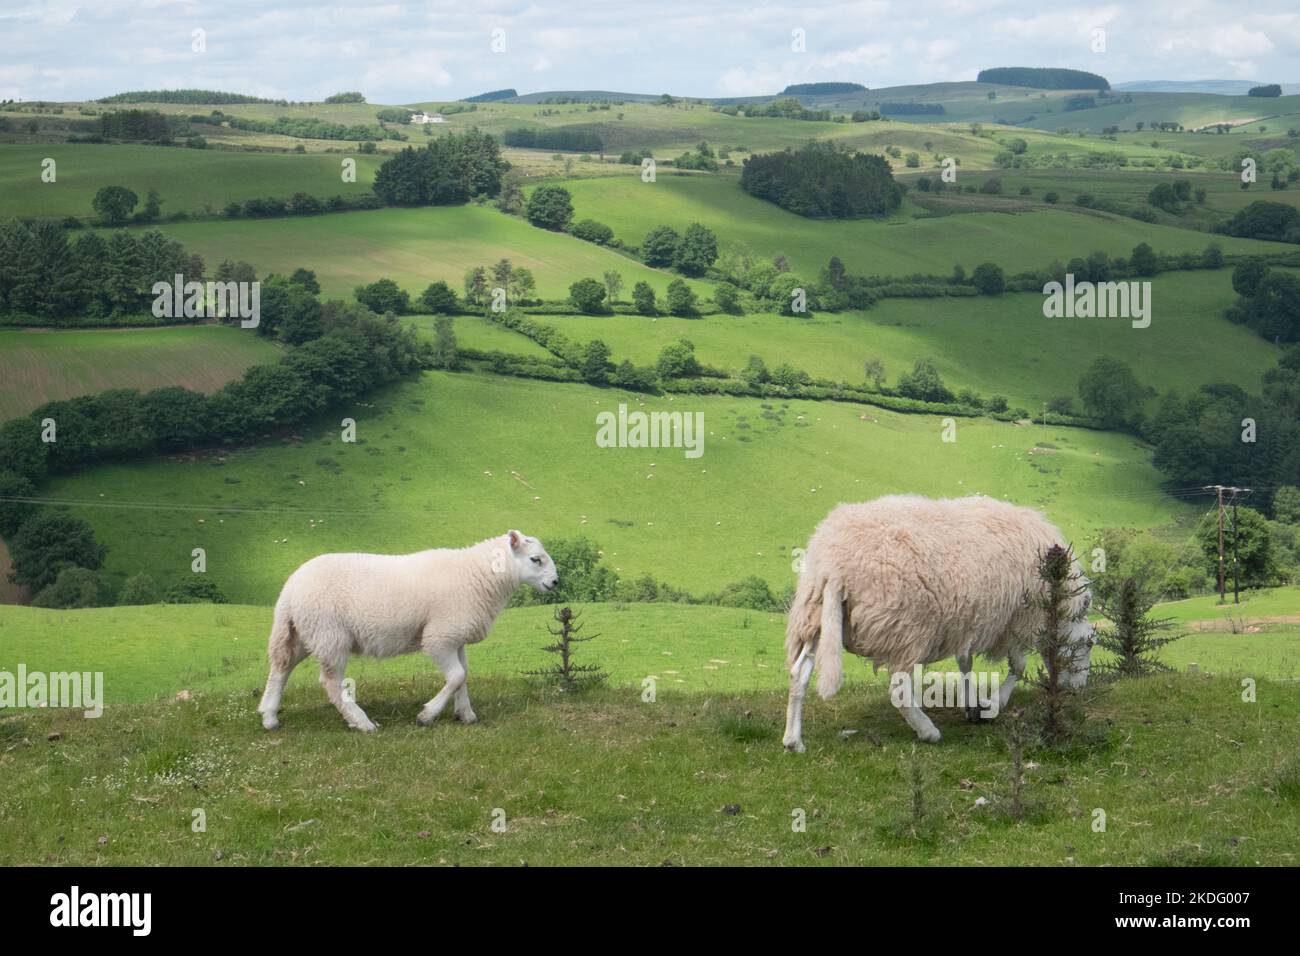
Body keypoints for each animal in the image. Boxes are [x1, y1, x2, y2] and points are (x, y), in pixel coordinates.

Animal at [257, 530, 558, 732]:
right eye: (536, 559)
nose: (555, 582)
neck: (479, 576)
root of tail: (290, 589)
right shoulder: (439, 637)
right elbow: (456, 676)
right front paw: (427, 715)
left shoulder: (456, 636)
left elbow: (463, 676)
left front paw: (465, 714)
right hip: (329, 633)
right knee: (331, 682)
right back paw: (362, 722)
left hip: (303, 633)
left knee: (281, 667)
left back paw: (269, 716)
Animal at [782, 495, 1093, 750]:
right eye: (1089, 643)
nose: (1078, 689)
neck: (1057, 610)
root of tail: (833, 563)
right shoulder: (1019, 619)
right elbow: (1017, 667)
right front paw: (994, 703)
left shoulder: (968, 620)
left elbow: (965, 664)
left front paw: (971, 704)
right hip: (906, 628)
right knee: (898, 689)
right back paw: (927, 730)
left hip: (816, 617)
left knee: (799, 673)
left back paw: (793, 741)